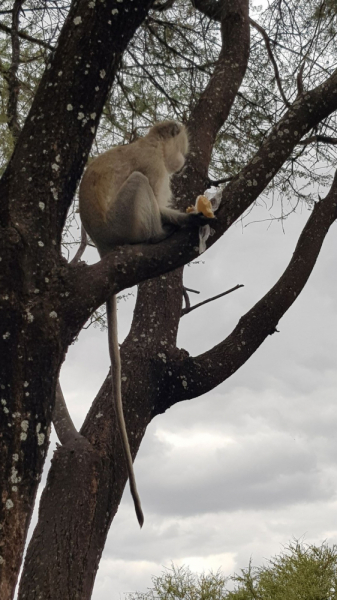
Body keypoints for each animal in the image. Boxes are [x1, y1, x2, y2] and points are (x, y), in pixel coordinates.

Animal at [79, 120, 213, 524]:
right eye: (181, 143)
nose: (185, 158)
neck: (150, 142)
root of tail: (103, 246)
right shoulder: (154, 165)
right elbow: (152, 190)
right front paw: (182, 222)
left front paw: (193, 217)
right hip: (123, 222)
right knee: (139, 187)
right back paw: (157, 235)